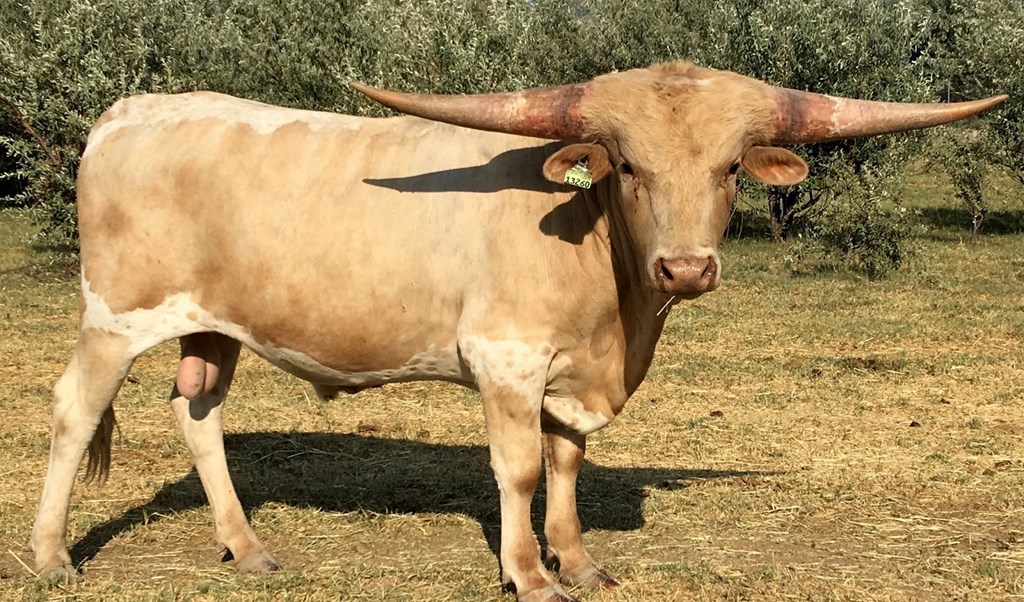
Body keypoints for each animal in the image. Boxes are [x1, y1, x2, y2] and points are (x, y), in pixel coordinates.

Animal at [29, 61, 1004, 601]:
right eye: (629, 167)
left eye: (731, 167)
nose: (686, 269)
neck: (615, 311)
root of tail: (128, 112)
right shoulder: (507, 358)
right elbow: (522, 467)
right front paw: (530, 575)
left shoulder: (575, 375)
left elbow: (568, 461)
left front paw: (578, 562)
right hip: (115, 316)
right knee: (74, 410)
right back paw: (50, 556)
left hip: (212, 326)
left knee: (198, 415)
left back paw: (248, 548)